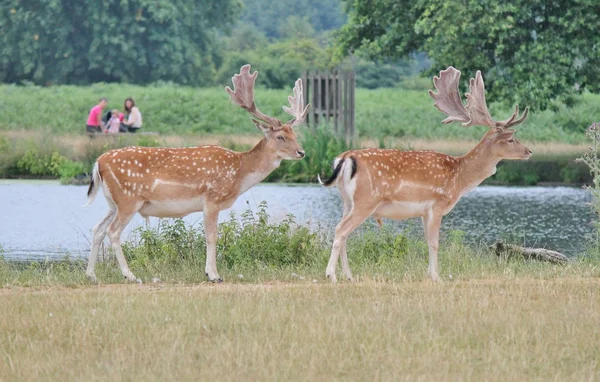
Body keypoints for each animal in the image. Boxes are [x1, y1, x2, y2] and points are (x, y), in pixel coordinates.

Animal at [84, 64, 310, 282]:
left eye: (294, 134)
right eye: (280, 137)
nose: (302, 152)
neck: (239, 173)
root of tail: (98, 162)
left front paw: (211, 273)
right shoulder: (212, 199)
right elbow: (211, 236)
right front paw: (213, 275)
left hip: (113, 202)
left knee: (97, 229)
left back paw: (92, 275)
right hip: (128, 199)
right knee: (113, 232)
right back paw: (130, 275)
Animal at [322, 65, 532, 282]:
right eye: (511, 139)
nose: (529, 151)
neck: (460, 177)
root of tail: (345, 158)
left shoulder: (423, 211)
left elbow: (427, 241)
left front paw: (429, 274)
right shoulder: (437, 204)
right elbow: (434, 243)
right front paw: (437, 277)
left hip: (348, 201)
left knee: (343, 232)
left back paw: (349, 276)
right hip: (366, 200)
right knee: (340, 230)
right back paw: (331, 275)